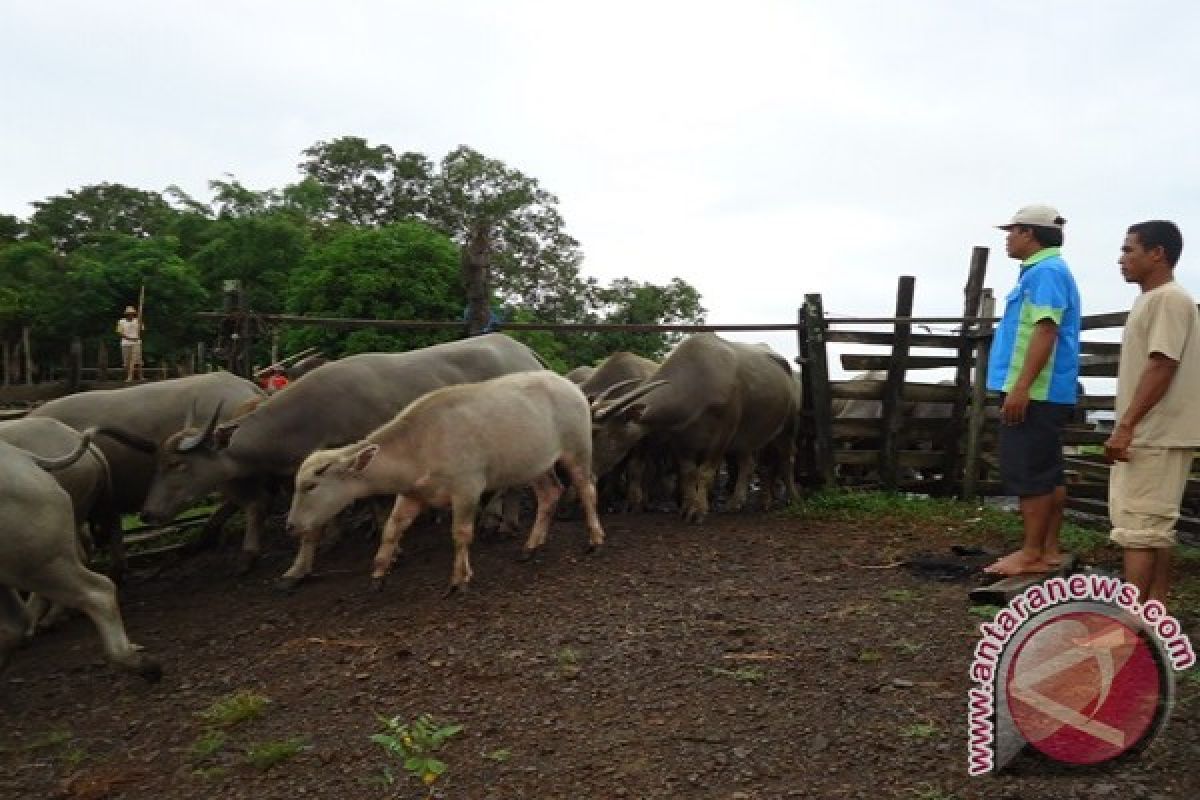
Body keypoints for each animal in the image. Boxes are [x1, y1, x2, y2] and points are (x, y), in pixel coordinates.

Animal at [141, 331, 549, 587]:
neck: (309, 416)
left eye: (177, 465)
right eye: (157, 464)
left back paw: (503, 521)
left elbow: (369, 508)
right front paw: (304, 564)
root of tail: (521, 349)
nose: (147, 513)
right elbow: (323, 519)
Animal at [285, 371, 604, 592]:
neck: (419, 445)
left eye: (310, 486)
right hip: (535, 463)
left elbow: (461, 533)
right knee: (550, 493)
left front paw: (460, 579)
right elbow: (391, 529)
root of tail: (568, 384)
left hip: (577, 449)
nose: (291, 525)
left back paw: (594, 539)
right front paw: (378, 574)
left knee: (586, 488)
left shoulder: (467, 489)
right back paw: (531, 546)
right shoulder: (412, 493)